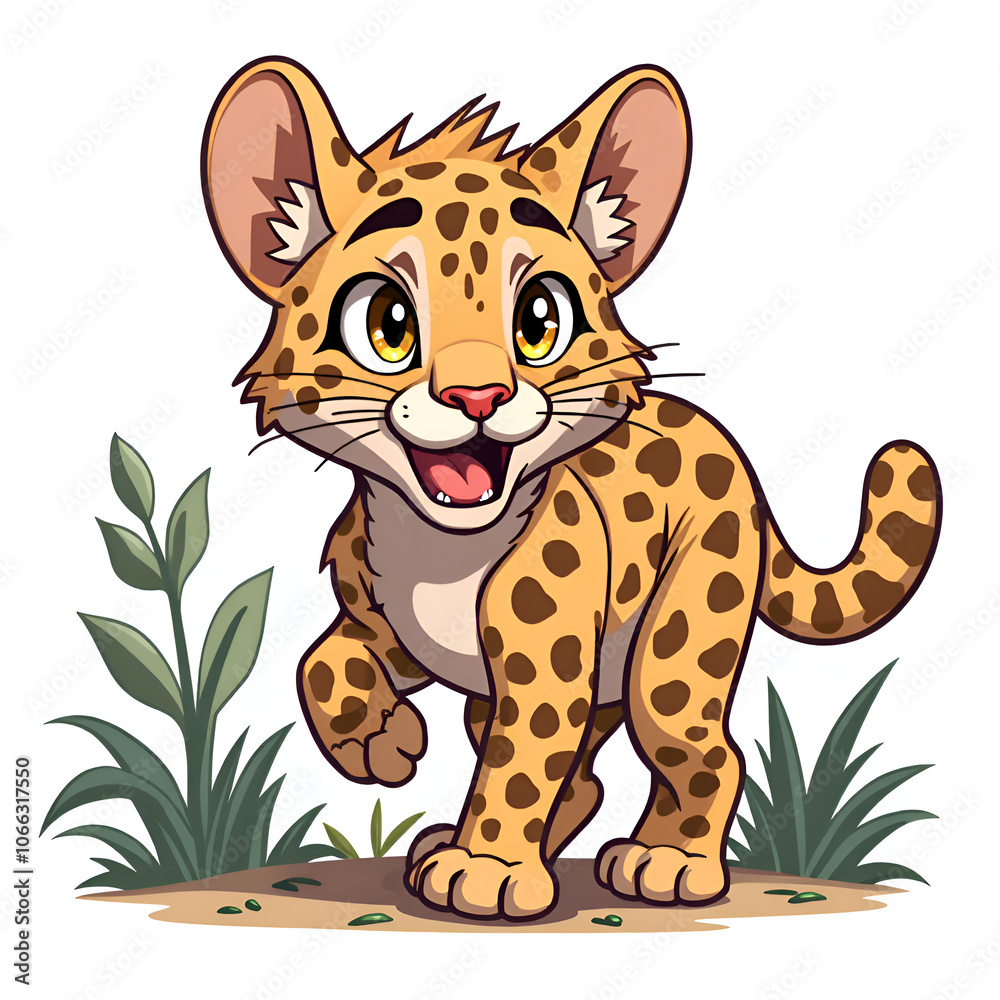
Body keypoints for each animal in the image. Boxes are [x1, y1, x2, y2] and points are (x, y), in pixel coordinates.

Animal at [201, 58, 941, 921]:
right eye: (387, 323)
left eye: (538, 319)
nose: (479, 395)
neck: (438, 549)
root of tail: (732, 453)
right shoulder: (387, 625)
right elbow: (319, 662)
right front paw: (377, 739)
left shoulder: (542, 670)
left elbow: (521, 767)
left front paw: (485, 870)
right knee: (583, 778)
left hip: (676, 647)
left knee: (699, 748)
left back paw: (665, 861)